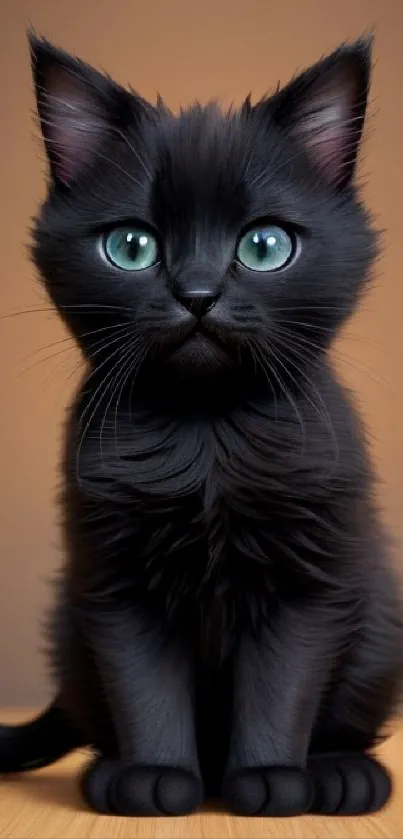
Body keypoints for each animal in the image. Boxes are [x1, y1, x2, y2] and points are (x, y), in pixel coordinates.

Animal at [0, 36, 403, 816]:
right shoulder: (116, 582)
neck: (207, 440)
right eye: (130, 247)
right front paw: (155, 777)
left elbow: (280, 686)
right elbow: (145, 689)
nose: (197, 292)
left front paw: (270, 780)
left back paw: (342, 775)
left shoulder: (308, 582)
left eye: (264, 246)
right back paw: (108, 771)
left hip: (377, 628)